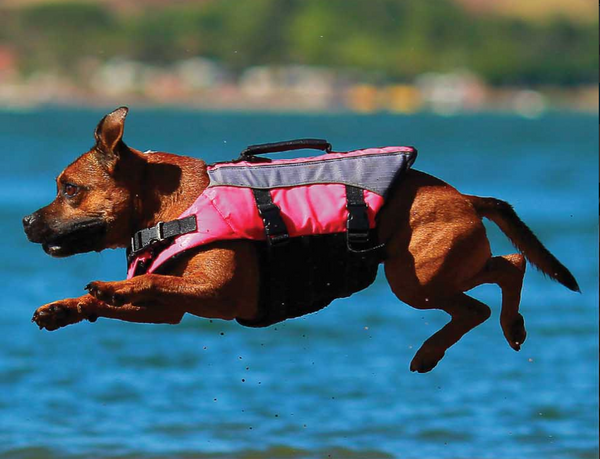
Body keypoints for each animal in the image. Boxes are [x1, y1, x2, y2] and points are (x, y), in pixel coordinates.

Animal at [21, 108, 580, 374]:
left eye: (70, 189)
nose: (25, 221)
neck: (169, 209)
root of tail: (468, 198)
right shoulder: (171, 310)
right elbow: (127, 299)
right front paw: (64, 309)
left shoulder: (216, 291)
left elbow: (142, 286)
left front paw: (109, 287)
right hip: (426, 276)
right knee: (488, 288)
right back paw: (445, 348)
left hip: (417, 277)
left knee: (503, 275)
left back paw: (493, 330)